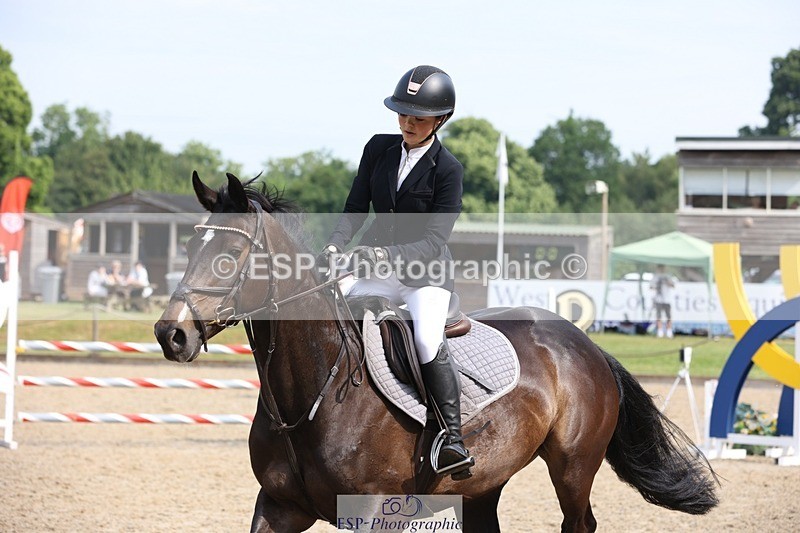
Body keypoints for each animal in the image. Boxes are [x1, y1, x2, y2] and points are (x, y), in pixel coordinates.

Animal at [154, 172, 718, 533]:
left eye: (230, 255)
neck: (313, 392)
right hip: (484, 484)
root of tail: (584, 343)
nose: (170, 334)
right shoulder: (276, 506)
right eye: (188, 247)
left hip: (574, 469)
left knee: (581, 522)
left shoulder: (372, 513)